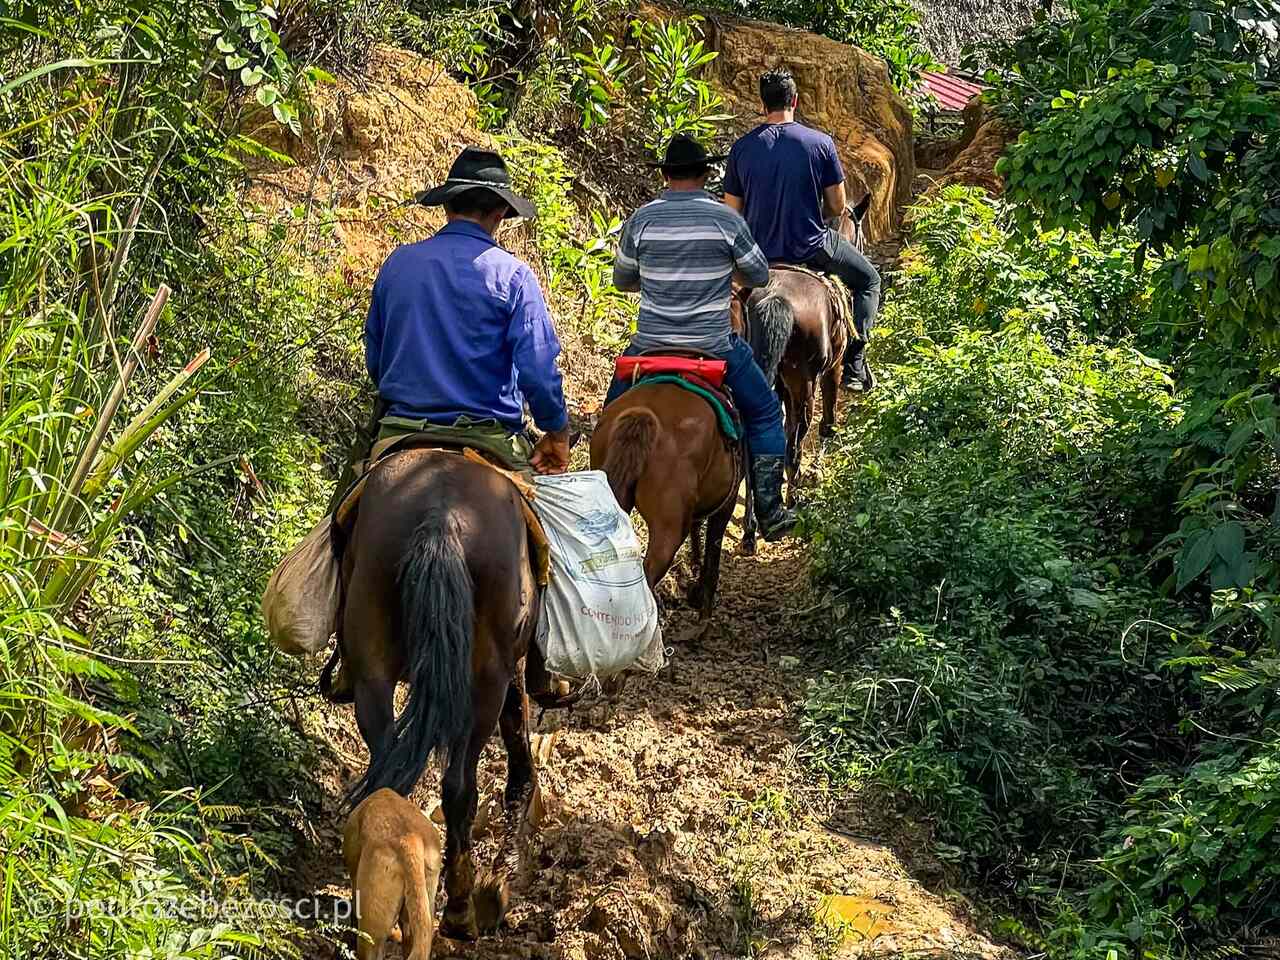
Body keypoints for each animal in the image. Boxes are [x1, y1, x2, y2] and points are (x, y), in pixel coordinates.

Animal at [332, 450, 547, 942]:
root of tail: (442, 515)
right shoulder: (511, 675)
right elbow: (518, 748)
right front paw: (497, 886)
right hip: (485, 681)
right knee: (460, 786)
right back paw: (462, 908)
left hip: (372, 657)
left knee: (387, 767)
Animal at [588, 378, 742, 634]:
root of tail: (643, 414)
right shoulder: (726, 505)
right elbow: (713, 554)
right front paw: (704, 615)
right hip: (669, 527)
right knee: (648, 574)